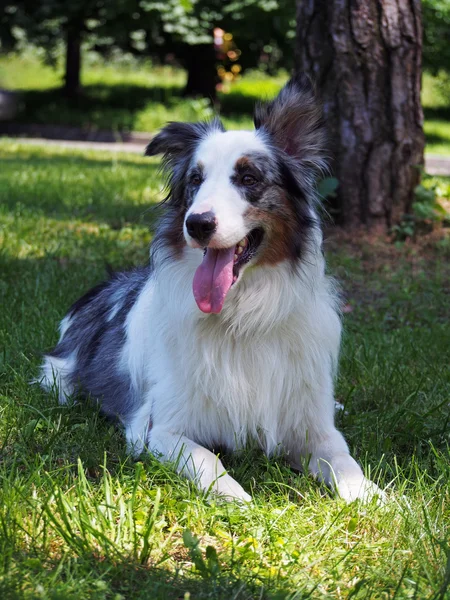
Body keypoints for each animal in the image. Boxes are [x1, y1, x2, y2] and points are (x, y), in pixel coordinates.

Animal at [38, 76, 382, 506]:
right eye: (195, 180)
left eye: (249, 179)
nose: (197, 223)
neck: (242, 315)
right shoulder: (158, 428)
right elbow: (207, 459)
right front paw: (239, 499)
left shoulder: (312, 426)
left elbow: (344, 460)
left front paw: (375, 496)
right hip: (59, 380)